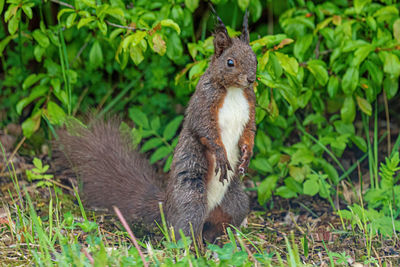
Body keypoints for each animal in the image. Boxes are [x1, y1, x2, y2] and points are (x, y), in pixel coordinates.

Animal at [57, 11, 258, 244]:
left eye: (255, 58)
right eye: (230, 62)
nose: (251, 78)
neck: (234, 90)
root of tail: (167, 207)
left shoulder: (250, 108)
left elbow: (249, 132)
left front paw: (247, 155)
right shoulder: (203, 103)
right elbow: (205, 130)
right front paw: (221, 155)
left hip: (236, 202)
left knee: (221, 221)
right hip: (191, 195)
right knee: (185, 228)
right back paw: (196, 247)